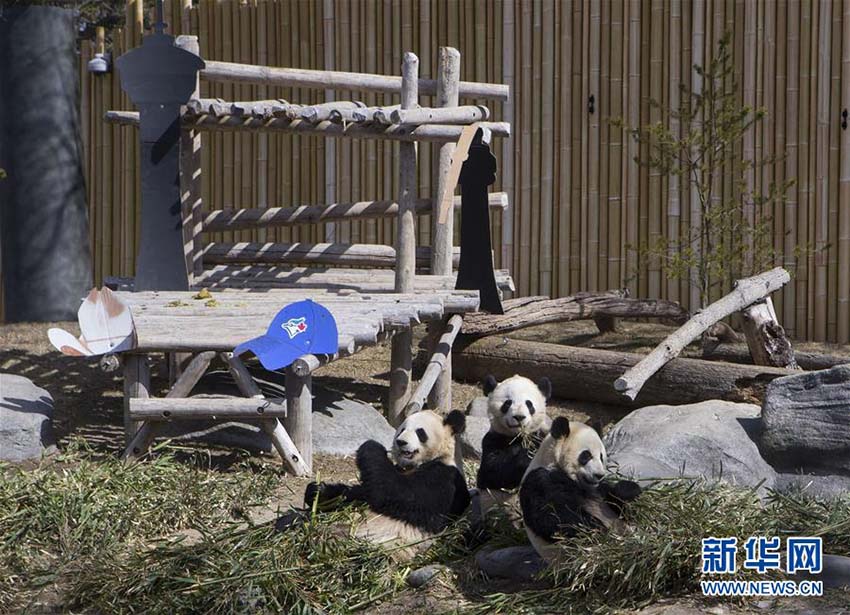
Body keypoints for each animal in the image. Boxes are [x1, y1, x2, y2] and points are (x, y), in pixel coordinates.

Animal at [298, 410, 470, 564]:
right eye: (402, 429)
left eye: (420, 432)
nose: (400, 442)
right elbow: (360, 493)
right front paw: (317, 491)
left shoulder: (443, 479)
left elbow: (395, 492)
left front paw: (371, 445)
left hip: (387, 548)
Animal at [516, 416, 644, 564]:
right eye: (586, 455)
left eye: (601, 456)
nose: (599, 475)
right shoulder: (540, 481)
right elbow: (552, 518)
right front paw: (598, 529)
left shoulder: (598, 489)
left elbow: (619, 505)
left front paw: (628, 489)